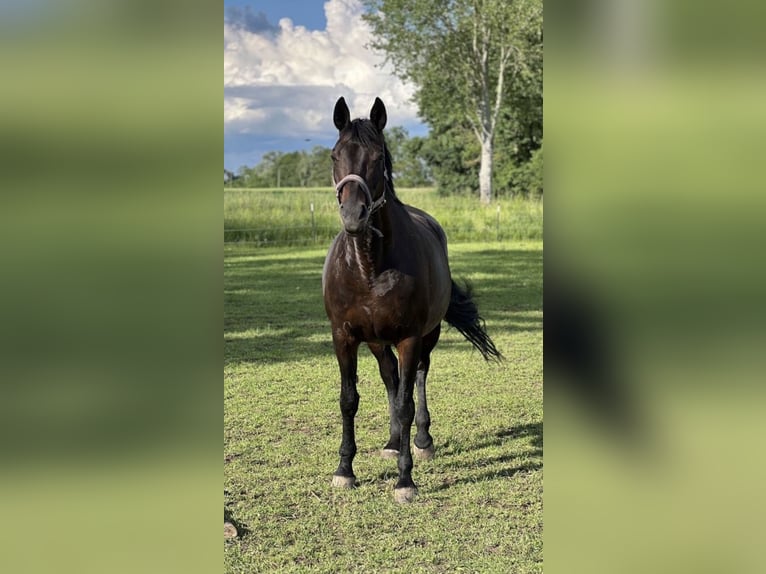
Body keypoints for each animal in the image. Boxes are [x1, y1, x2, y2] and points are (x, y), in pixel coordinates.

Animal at [320, 97, 504, 502]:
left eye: (378, 157)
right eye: (335, 155)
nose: (353, 215)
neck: (369, 267)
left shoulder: (409, 337)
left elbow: (405, 403)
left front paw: (405, 480)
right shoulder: (344, 336)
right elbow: (348, 400)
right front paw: (344, 470)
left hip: (427, 336)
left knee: (417, 377)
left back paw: (422, 440)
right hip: (376, 340)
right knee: (390, 377)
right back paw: (392, 442)